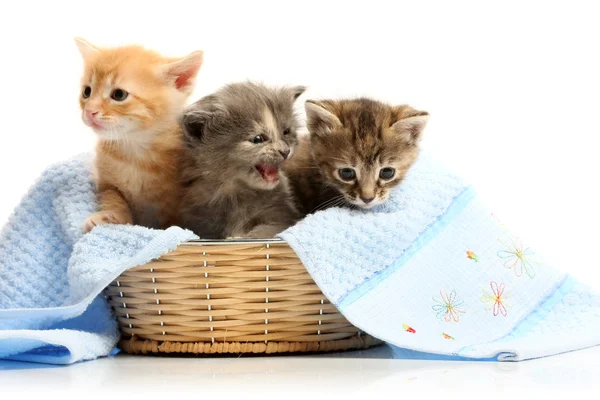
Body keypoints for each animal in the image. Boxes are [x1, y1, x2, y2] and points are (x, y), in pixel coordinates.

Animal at [76, 38, 204, 231]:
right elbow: (112, 196)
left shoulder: (176, 203)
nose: (89, 111)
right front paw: (109, 216)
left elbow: (171, 224)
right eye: (87, 91)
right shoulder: (106, 183)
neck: (135, 152)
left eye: (119, 94)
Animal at [178, 81, 304, 238]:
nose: (286, 151)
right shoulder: (201, 221)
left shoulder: (283, 214)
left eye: (286, 132)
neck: (236, 193)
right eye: (258, 139)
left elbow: (265, 231)